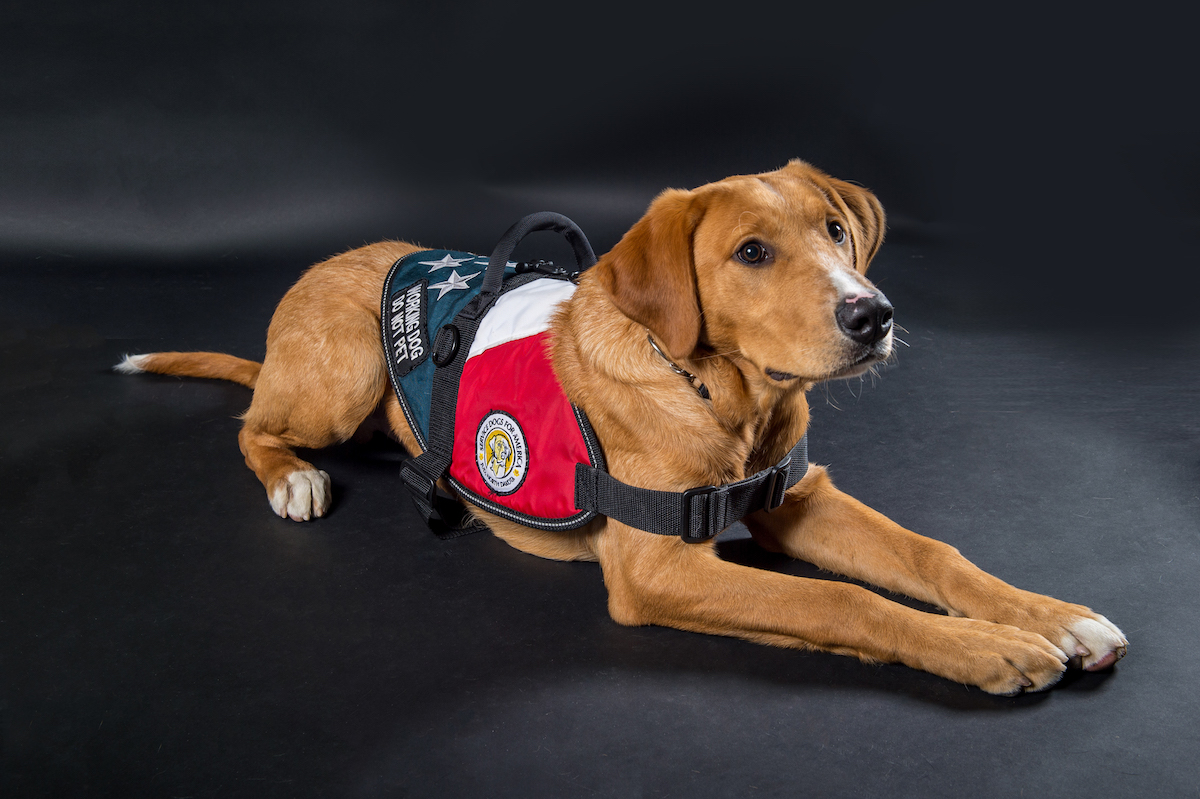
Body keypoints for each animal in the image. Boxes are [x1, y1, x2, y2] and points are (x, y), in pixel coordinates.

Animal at [114, 160, 1123, 691]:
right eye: (751, 253)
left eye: (836, 231)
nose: (871, 314)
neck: (724, 397)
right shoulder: (661, 569)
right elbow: (841, 601)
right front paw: (990, 646)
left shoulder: (797, 498)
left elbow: (930, 555)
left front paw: (1050, 614)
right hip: (343, 370)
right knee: (253, 426)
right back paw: (294, 476)